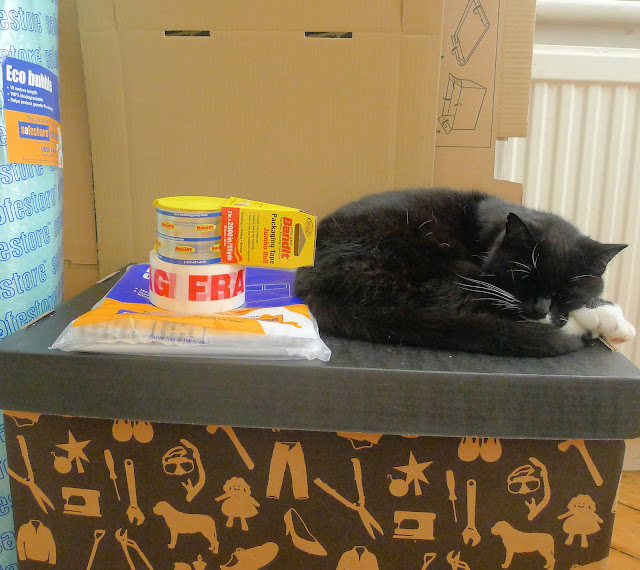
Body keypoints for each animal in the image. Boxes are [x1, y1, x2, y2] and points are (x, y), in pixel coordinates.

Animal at [294, 188, 636, 357]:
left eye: (564, 291)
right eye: (524, 277)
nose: (539, 310)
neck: (496, 232)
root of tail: (308, 282)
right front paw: (606, 319)